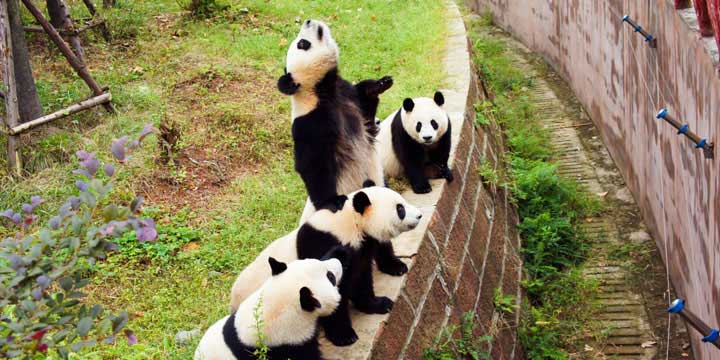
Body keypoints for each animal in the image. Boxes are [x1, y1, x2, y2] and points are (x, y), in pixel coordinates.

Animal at [229, 186, 422, 346]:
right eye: (400, 208)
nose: (420, 215)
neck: (351, 223)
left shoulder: (358, 251)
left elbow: (360, 279)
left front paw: (379, 304)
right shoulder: (323, 247)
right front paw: (344, 336)